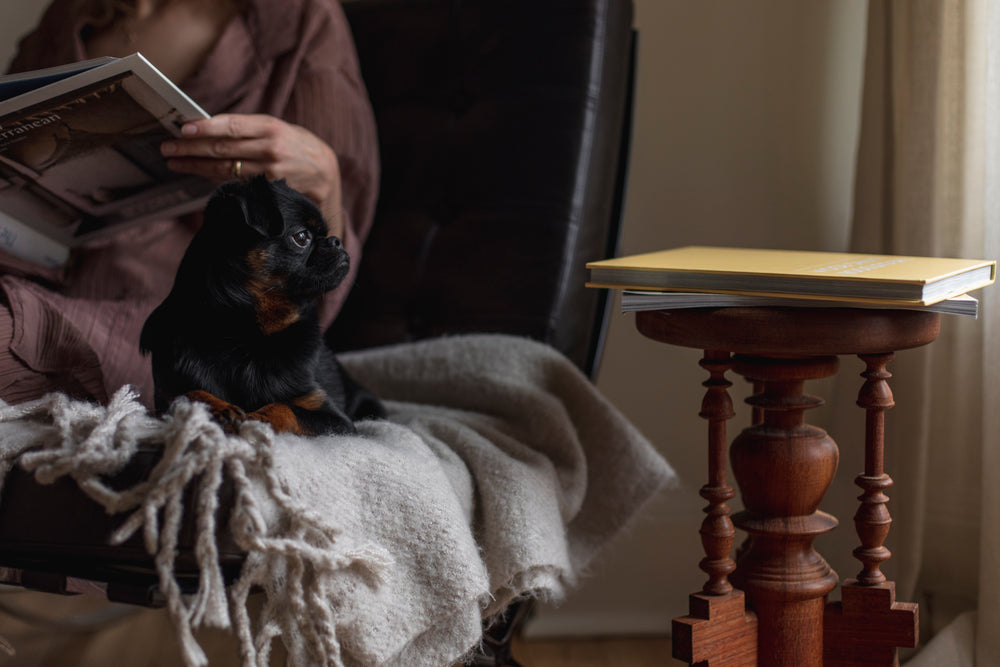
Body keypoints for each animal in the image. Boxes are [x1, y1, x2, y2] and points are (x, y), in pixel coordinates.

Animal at [143, 176, 384, 438]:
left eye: (329, 235)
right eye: (302, 238)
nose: (336, 241)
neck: (248, 335)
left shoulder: (337, 420)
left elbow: (286, 407)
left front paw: (259, 417)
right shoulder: (165, 397)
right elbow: (188, 394)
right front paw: (218, 408)